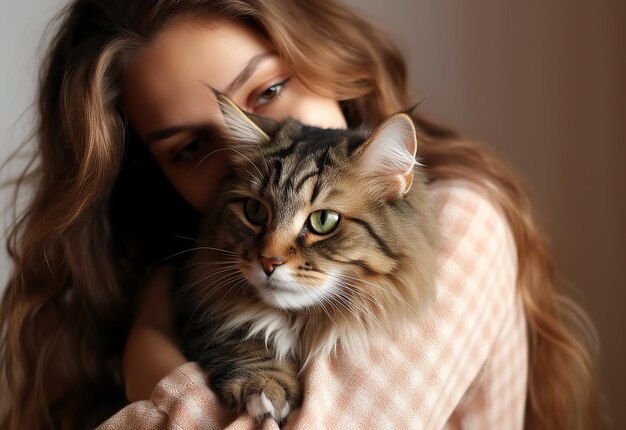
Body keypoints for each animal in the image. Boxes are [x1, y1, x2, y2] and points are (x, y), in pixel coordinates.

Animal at [174, 91, 438, 424]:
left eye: (323, 221)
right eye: (255, 211)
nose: (268, 262)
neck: (300, 321)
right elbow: (243, 333)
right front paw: (264, 386)